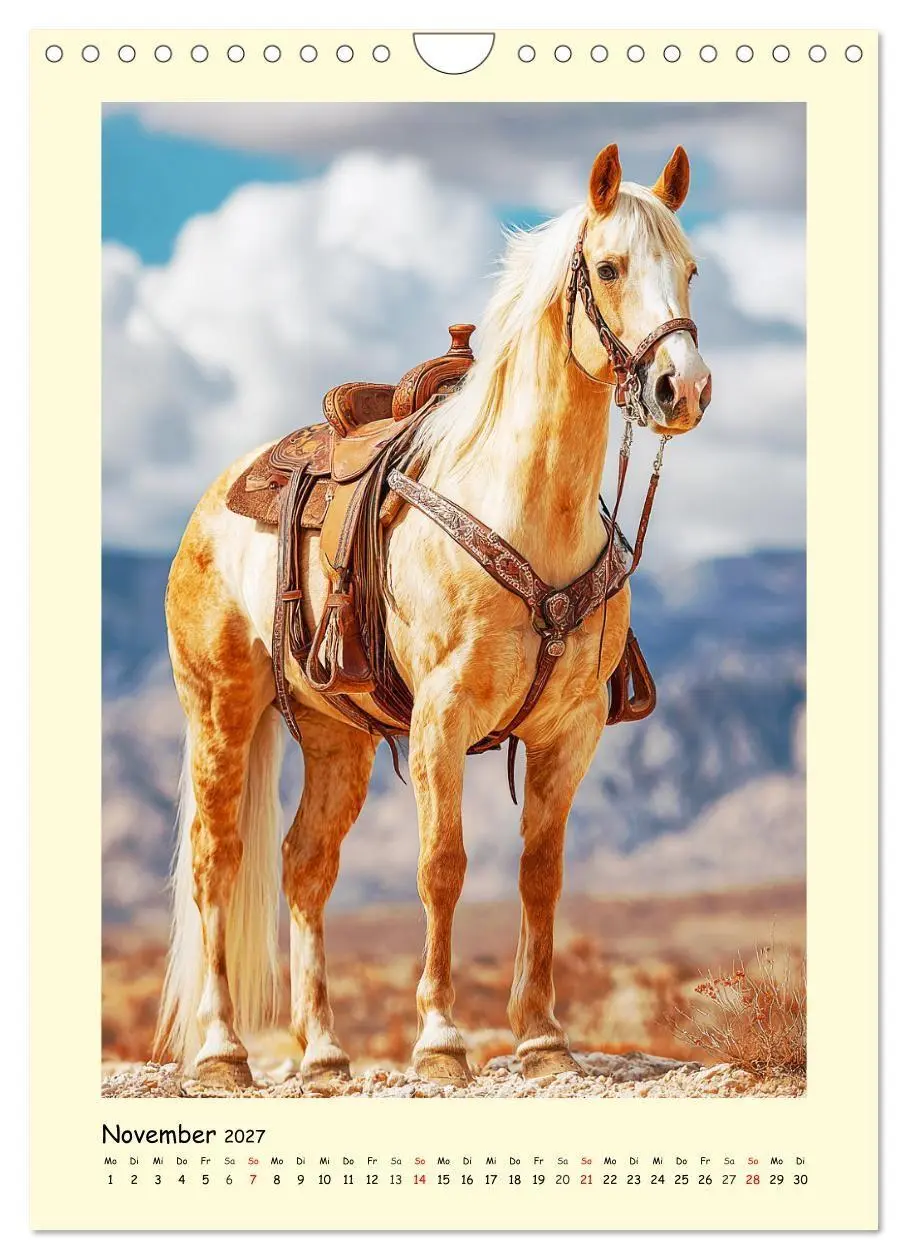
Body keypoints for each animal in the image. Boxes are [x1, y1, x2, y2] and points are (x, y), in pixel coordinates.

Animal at [154, 142, 712, 1090]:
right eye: (608, 267)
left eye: (691, 269)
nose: (684, 389)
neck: (524, 510)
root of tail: (210, 501)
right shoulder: (441, 720)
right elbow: (442, 866)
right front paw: (442, 1040)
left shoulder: (569, 731)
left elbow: (539, 873)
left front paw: (543, 1039)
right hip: (222, 711)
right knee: (215, 863)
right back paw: (225, 1052)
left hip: (333, 736)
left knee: (304, 867)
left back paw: (325, 1054)